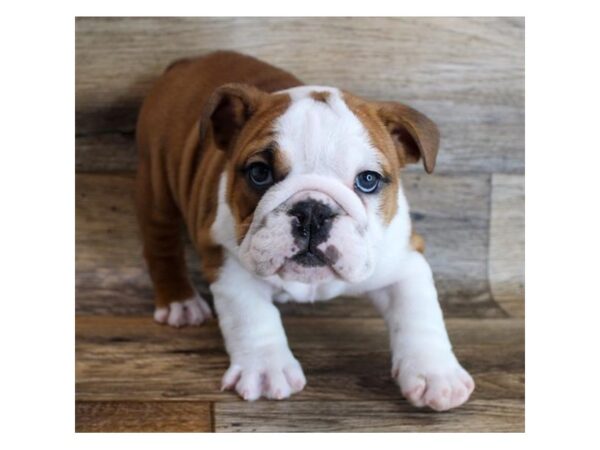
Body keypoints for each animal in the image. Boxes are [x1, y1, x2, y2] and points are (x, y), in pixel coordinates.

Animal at [135, 51, 474, 410]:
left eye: (368, 180)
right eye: (259, 173)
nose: (312, 212)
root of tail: (185, 62)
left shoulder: (404, 259)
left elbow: (418, 311)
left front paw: (436, 374)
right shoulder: (226, 258)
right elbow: (251, 315)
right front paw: (266, 368)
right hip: (156, 183)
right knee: (160, 242)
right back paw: (180, 303)